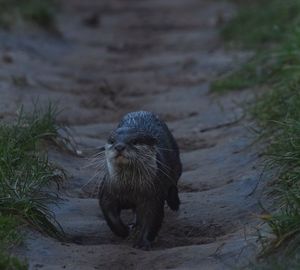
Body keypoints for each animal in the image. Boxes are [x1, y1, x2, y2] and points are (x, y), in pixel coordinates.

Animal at [99, 110, 182, 250]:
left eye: (135, 141)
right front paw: (123, 231)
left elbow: (152, 218)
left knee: (173, 184)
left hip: (176, 163)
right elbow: (109, 213)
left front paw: (142, 243)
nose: (119, 147)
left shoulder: (153, 195)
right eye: (112, 141)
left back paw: (174, 203)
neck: (130, 188)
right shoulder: (108, 191)